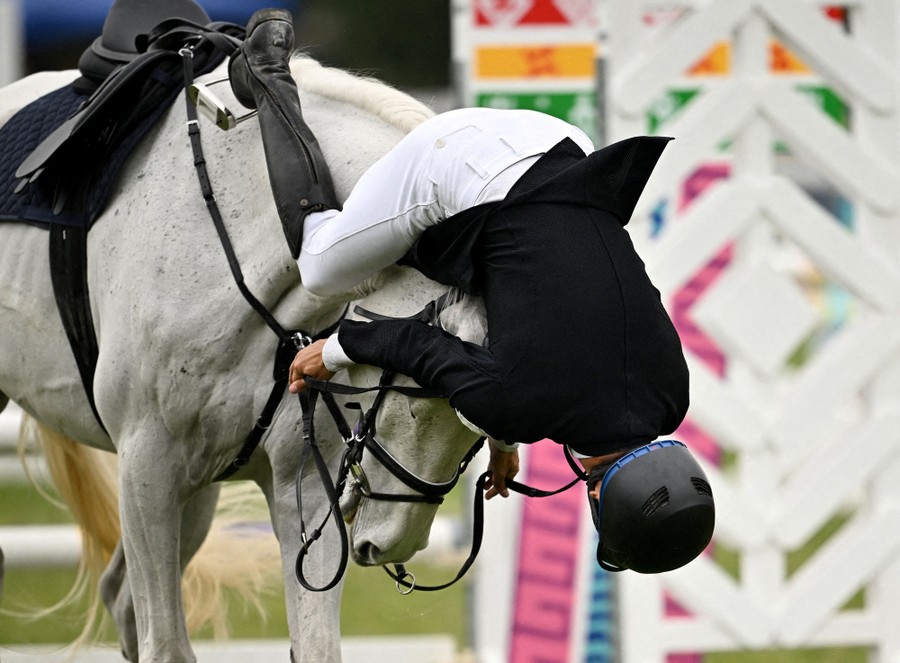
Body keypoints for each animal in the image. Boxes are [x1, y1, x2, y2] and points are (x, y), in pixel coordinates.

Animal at [0, 55, 484, 662]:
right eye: (414, 396)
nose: (396, 544)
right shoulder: (146, 470)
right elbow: (167, 646)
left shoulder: (299, 488)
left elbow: (316, 646)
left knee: (120, 595)